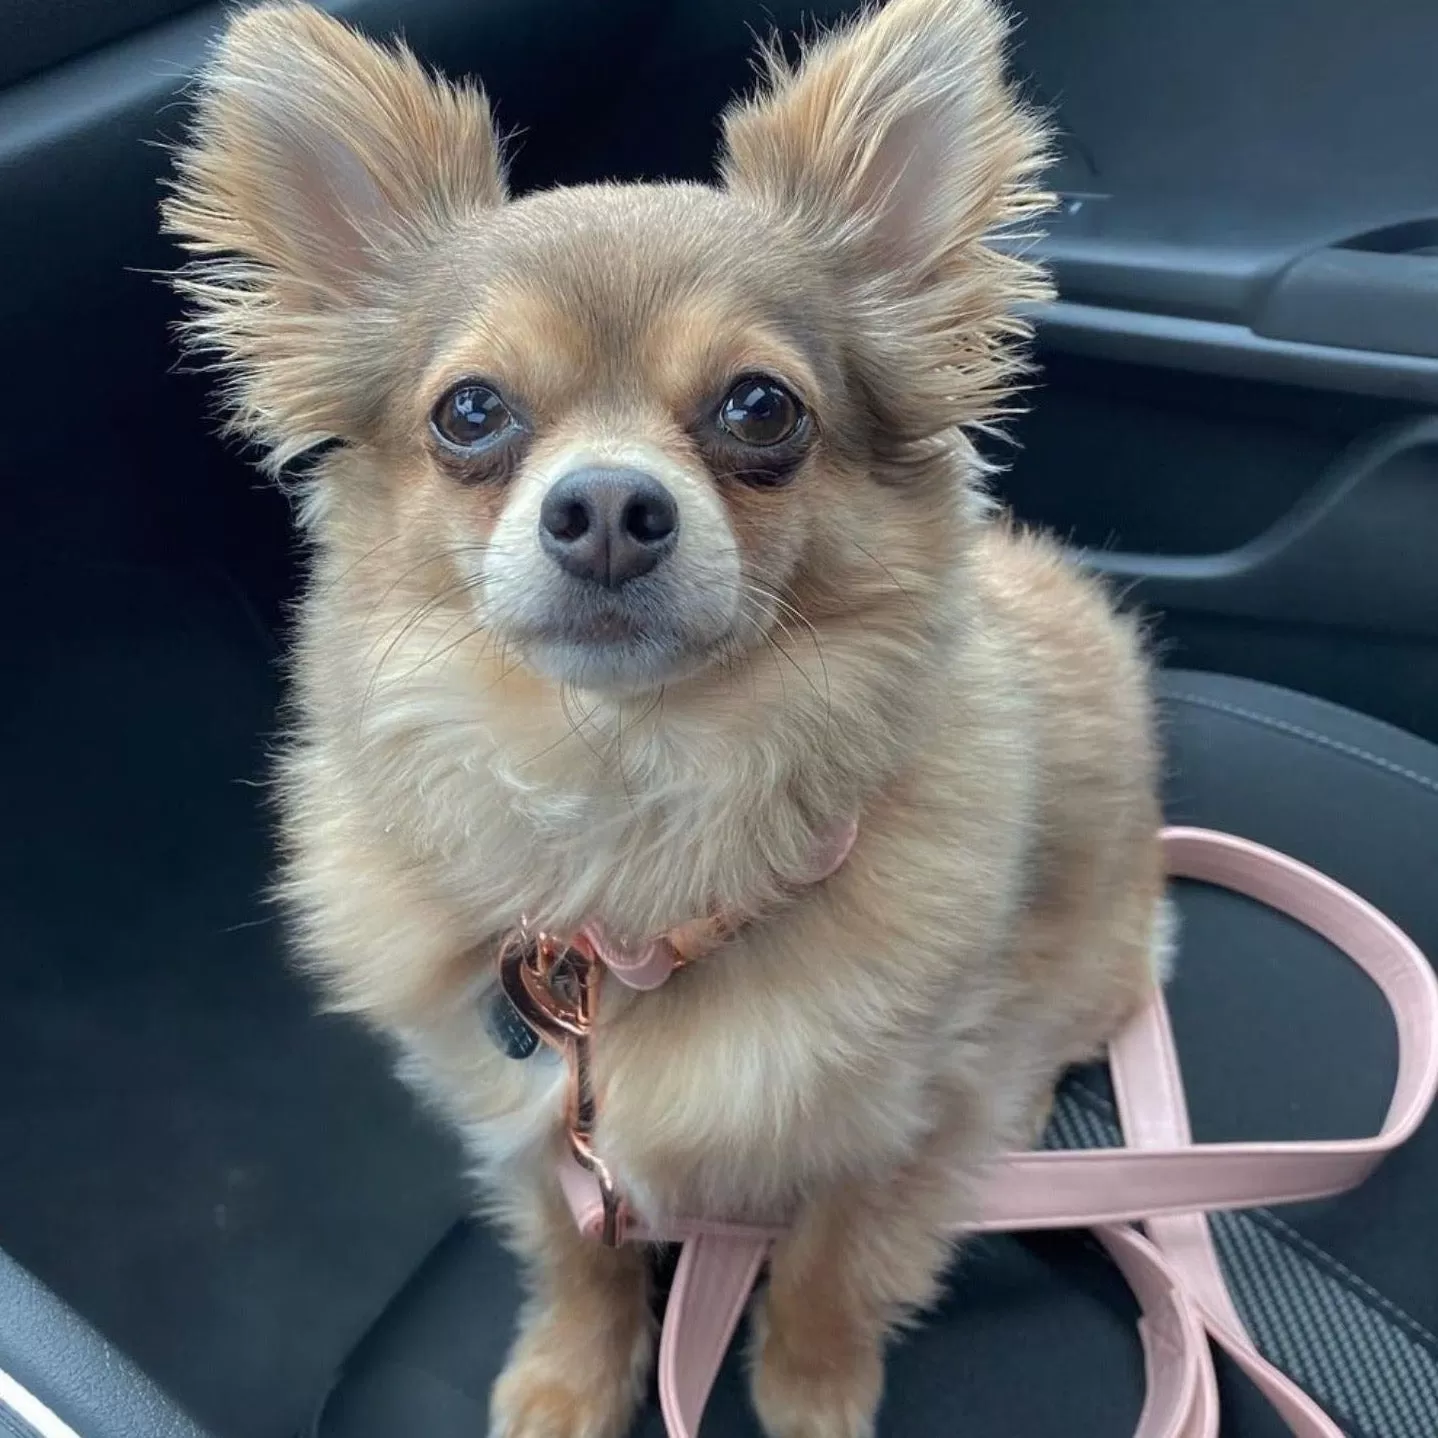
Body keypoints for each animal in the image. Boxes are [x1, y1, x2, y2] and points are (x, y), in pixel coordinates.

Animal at [163, 2, 1161, 1438]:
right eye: (471, 410)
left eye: (760, 405)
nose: (604, 508)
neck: (619, 806)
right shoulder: (536, 1120)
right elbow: (577, 1249)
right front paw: (572, 1375)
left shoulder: (904, 1126)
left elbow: (832, 1261)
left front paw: (810, 1386)